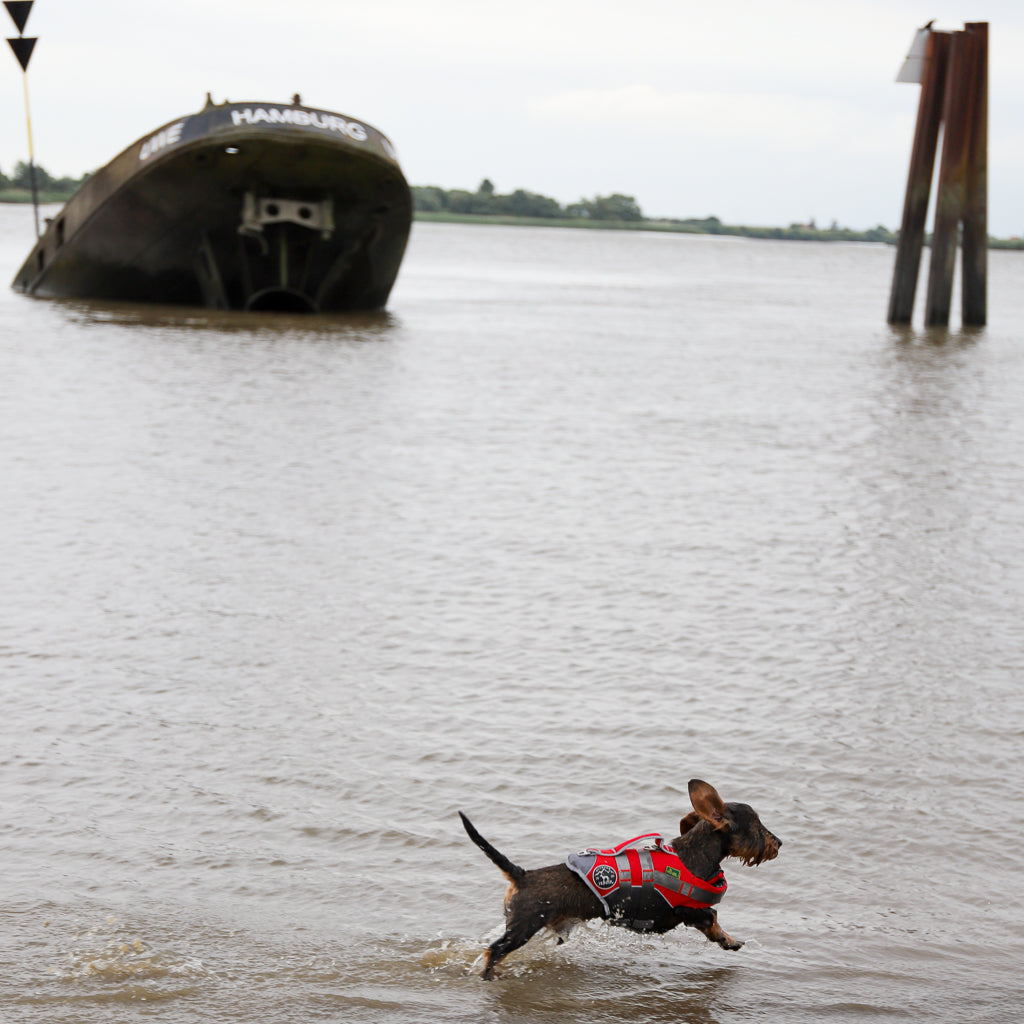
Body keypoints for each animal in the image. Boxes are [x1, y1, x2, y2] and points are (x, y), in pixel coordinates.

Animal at [460, 778, 778, 978]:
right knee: (493, 951)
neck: (694, 855)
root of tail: (523, 875)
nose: (779, 843)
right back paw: (489, 976)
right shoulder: (688, 911)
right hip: (523, 927)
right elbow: (713, 920)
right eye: (757, 826)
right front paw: (729, 940)